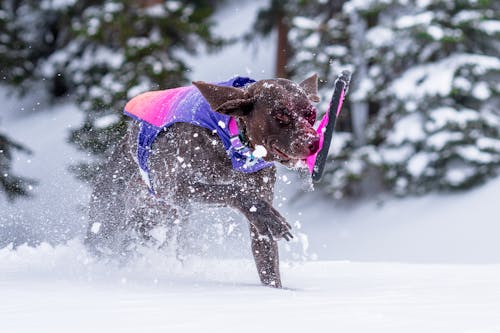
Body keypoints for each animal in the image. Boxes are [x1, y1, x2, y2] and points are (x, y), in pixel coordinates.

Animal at [85, 74, 320, 286]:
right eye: (280, 115)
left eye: (311, 114)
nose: (314, 142)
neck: (229, 142)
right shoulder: (175, 188)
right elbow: (233, 191)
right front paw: (266, 215)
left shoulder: (259, 223)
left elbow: (268, 266)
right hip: (110, 222)